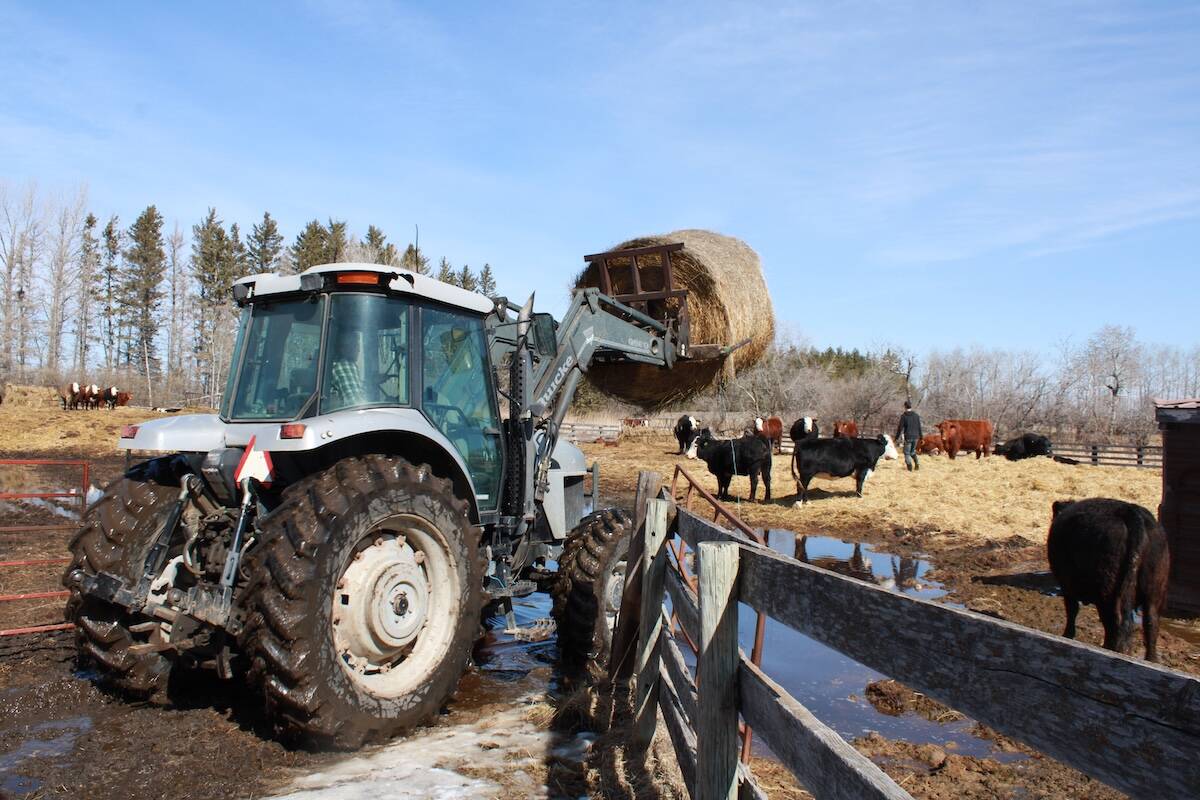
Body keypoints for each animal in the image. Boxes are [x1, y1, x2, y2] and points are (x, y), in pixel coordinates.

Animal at [1048, 498, 1170, 661]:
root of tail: (1130, 511)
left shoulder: (1067, 584)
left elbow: (1072, 609)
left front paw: (1067, 635)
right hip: (1154, 591)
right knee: (1151, 622)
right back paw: (1150, 659)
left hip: (1108, 591)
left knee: (1115, 621)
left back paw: (1113, 650)